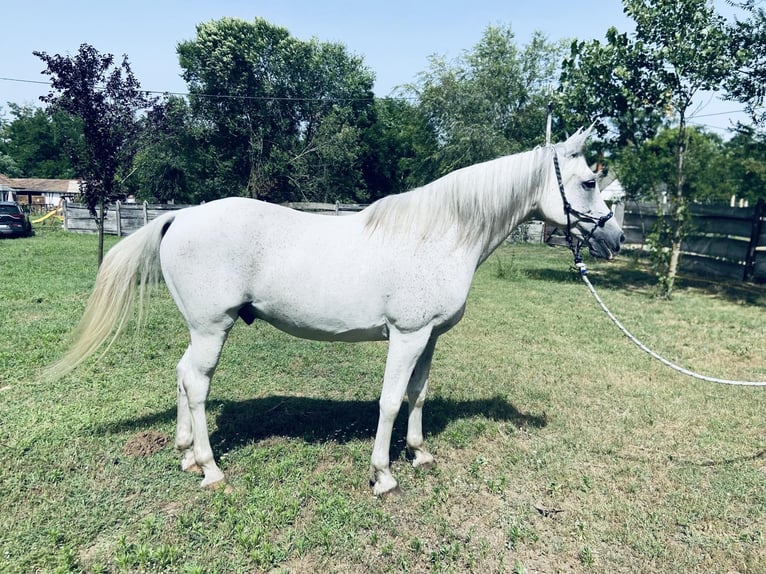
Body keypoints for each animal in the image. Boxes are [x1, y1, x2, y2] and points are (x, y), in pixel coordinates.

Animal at [48, 129, 624, 496]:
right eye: (589, 182)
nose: (615, 239)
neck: (440, 233)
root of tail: (181, 216)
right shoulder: (407, 335)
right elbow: (389, 402)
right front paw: (383, 475)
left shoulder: (429, 337)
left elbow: (417, 395)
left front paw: (419, 453)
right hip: (212, 329)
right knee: (196, 381)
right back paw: (210, 468)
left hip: (200, 330)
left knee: (182, 376)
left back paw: (186, 451)